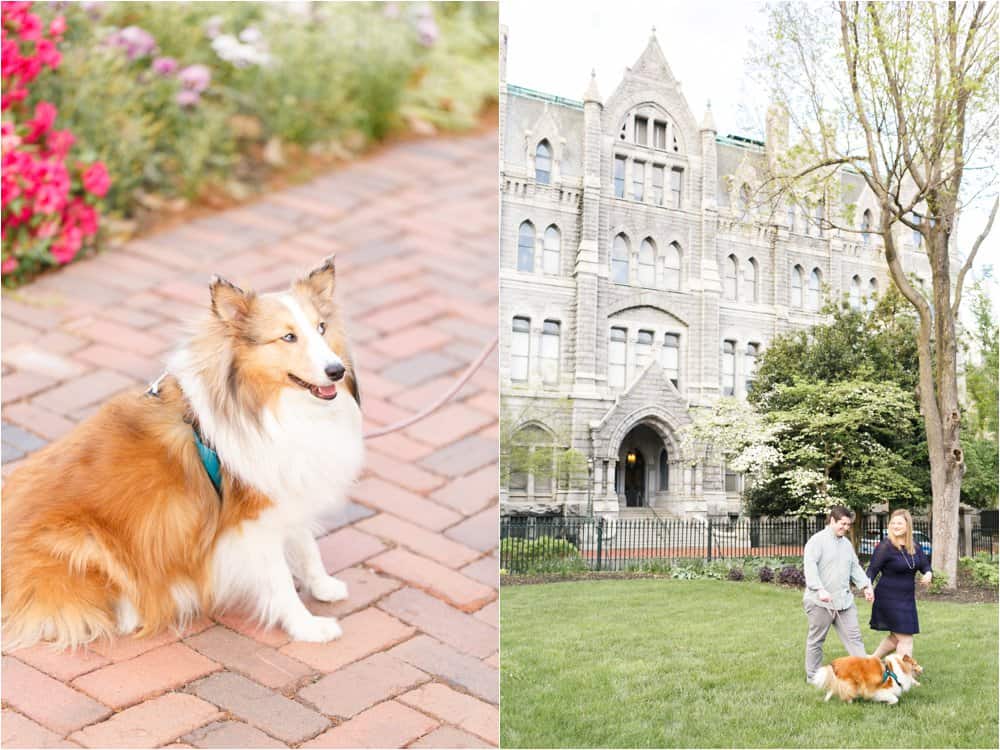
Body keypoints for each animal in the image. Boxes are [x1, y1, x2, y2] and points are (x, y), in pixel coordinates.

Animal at [1, 258, 366, 652]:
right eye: (288, 337)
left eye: (321, 327)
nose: (336, 370)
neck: (265, 406)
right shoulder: (253, 522)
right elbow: (280, 580)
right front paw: (308, 627)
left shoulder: (284, 487)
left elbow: (306, 547)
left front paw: (323, 586)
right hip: (83, 541)